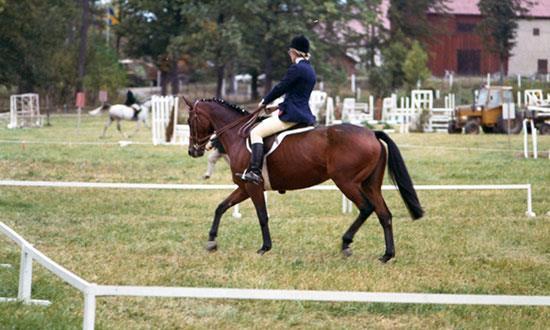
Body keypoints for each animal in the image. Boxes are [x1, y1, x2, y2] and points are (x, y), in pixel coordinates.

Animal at [174, 96, 426, 262]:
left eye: (190, 121)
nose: (193, 151)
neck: (239, 135)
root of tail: (372, 134)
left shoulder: (253, 186)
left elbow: (262, 216)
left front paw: (264, 248)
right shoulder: (244, 187)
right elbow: (221, 207)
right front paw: (211, 241)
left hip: (346, 182)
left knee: (366, 208)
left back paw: (346, 243)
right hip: (370, 184)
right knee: (384, 214)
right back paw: (386, 255)